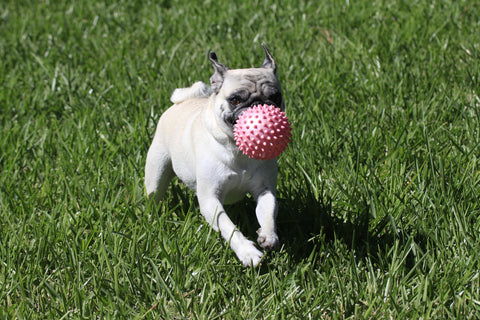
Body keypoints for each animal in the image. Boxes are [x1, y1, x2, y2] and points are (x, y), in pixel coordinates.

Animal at [144, 43, 284, 266]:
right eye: (235, 100)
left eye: (275, 97)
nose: (257, 105)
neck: (238, 150)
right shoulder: (211, 200)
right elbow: (229, 228)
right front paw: (248, 252)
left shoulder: (265, 190)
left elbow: (269, 211)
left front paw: (269, 236)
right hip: (156, 175)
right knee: (154, 195)